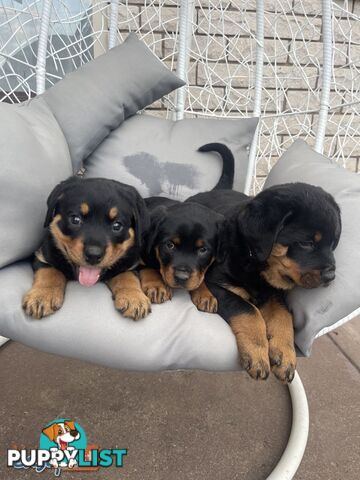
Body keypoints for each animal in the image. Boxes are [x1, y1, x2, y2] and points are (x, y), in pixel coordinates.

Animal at [22, 175, 152, 318]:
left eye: (117, 226)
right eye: (75, 219)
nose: (93, 255)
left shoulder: (130, 264)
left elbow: (127, 276)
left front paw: (134, 297)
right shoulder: (42, 254)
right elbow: (50, 271)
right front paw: (42, 296)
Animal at [138, 142, 233, 314]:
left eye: (203, 250)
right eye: (169, 245)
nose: (181, 278)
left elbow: (200, 276)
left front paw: (205, 294)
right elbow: (149, 266)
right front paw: (157, 285)